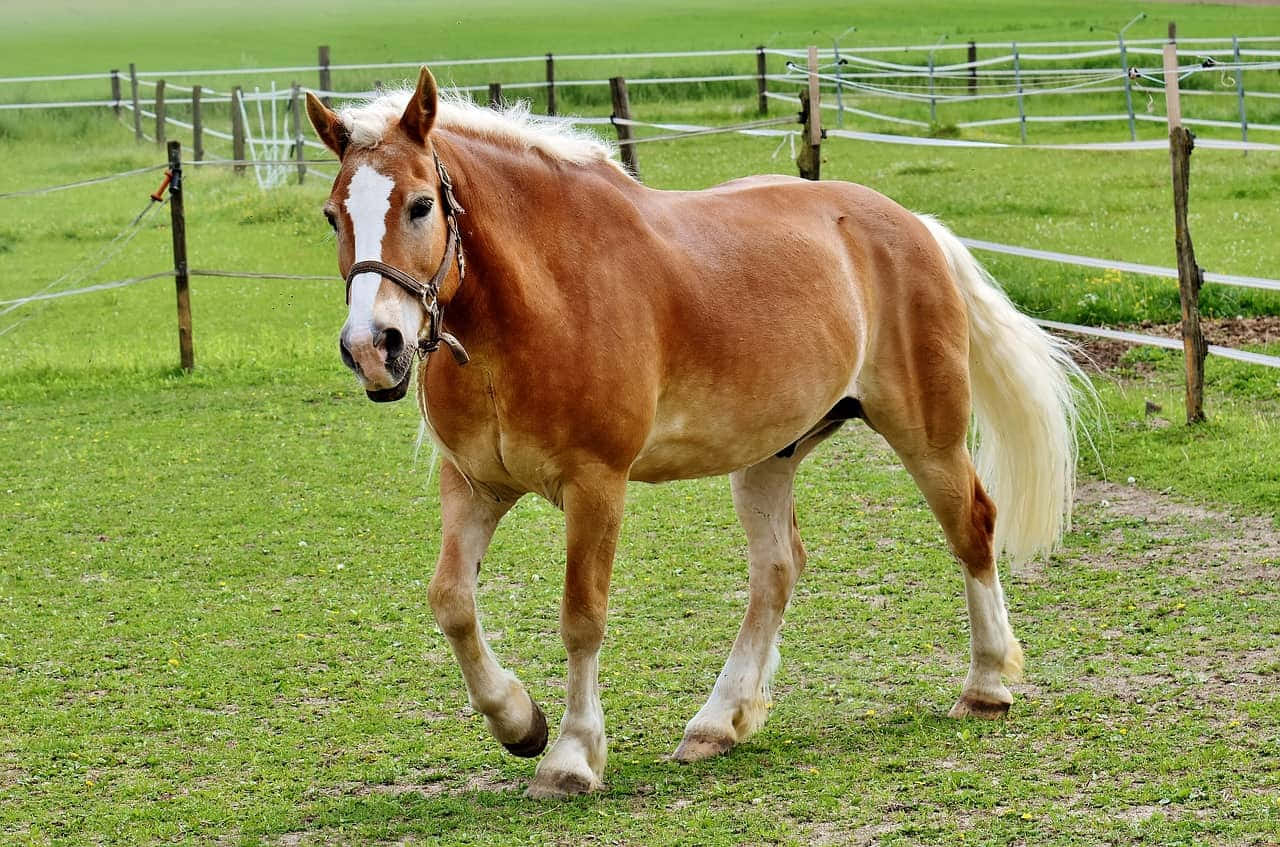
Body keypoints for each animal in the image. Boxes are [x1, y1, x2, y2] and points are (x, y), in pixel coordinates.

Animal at [304, 67, 1086, 799]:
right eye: (333, 215)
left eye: (420, 204)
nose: (374, 346)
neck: (532, 304)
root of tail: (916, 225)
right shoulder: (474, 486)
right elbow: (451, 602)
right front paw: (518, 721)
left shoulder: (596, 483)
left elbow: (582, 615)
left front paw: (572, 755)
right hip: (771, 454)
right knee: (777, 571)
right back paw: (719, 722)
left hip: (928, 435)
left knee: (972, 527)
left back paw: (986, 684)